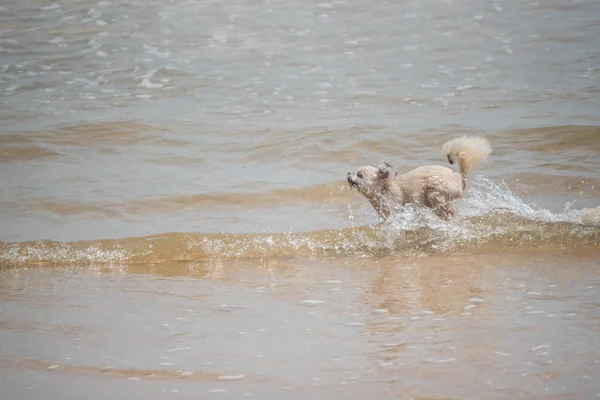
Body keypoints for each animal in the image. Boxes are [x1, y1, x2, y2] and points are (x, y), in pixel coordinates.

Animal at [346, 136, 492, 220]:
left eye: (359, 174)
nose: (348, 173)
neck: (383, 190)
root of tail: (459, 176)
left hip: (434, 190)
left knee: (447, 210)